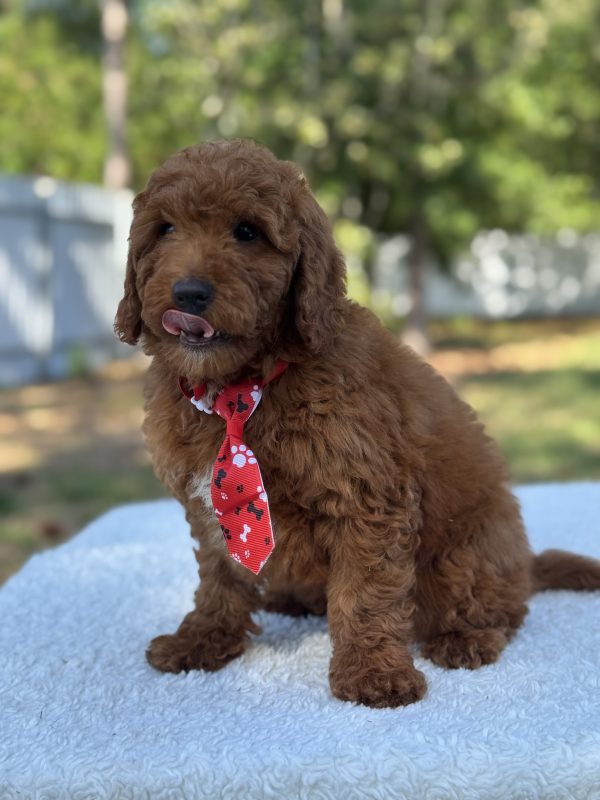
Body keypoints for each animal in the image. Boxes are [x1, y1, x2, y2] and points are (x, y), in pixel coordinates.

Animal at [115, 139, 600, 708]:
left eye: (247, 232)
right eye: (165, 229)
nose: (189, 293)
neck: (243, 388)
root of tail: (526, 566)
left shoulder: (365, 497)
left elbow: (364, 592)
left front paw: (373, 673)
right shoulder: (212, 502)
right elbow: (220, 575)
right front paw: (202, 639)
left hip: (467, 553)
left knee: (499, 606)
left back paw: (466, 637)